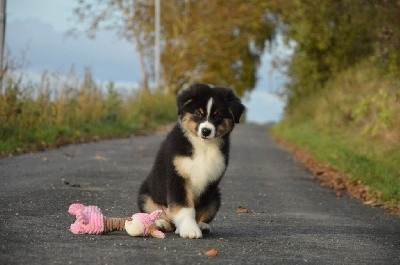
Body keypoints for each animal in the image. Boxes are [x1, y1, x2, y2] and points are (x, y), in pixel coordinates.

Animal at [137, 83, 244, 238]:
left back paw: (202, 225)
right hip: (145, 195)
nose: (206, 131)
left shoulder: (209, 183)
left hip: (216, 197)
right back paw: (161, 223)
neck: (203, 146)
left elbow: (198, 210)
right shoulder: (178, 177)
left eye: (218, 116)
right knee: (157, 213)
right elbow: (184, 207)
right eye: (198, 113)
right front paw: (189, 229)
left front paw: (193, 226)